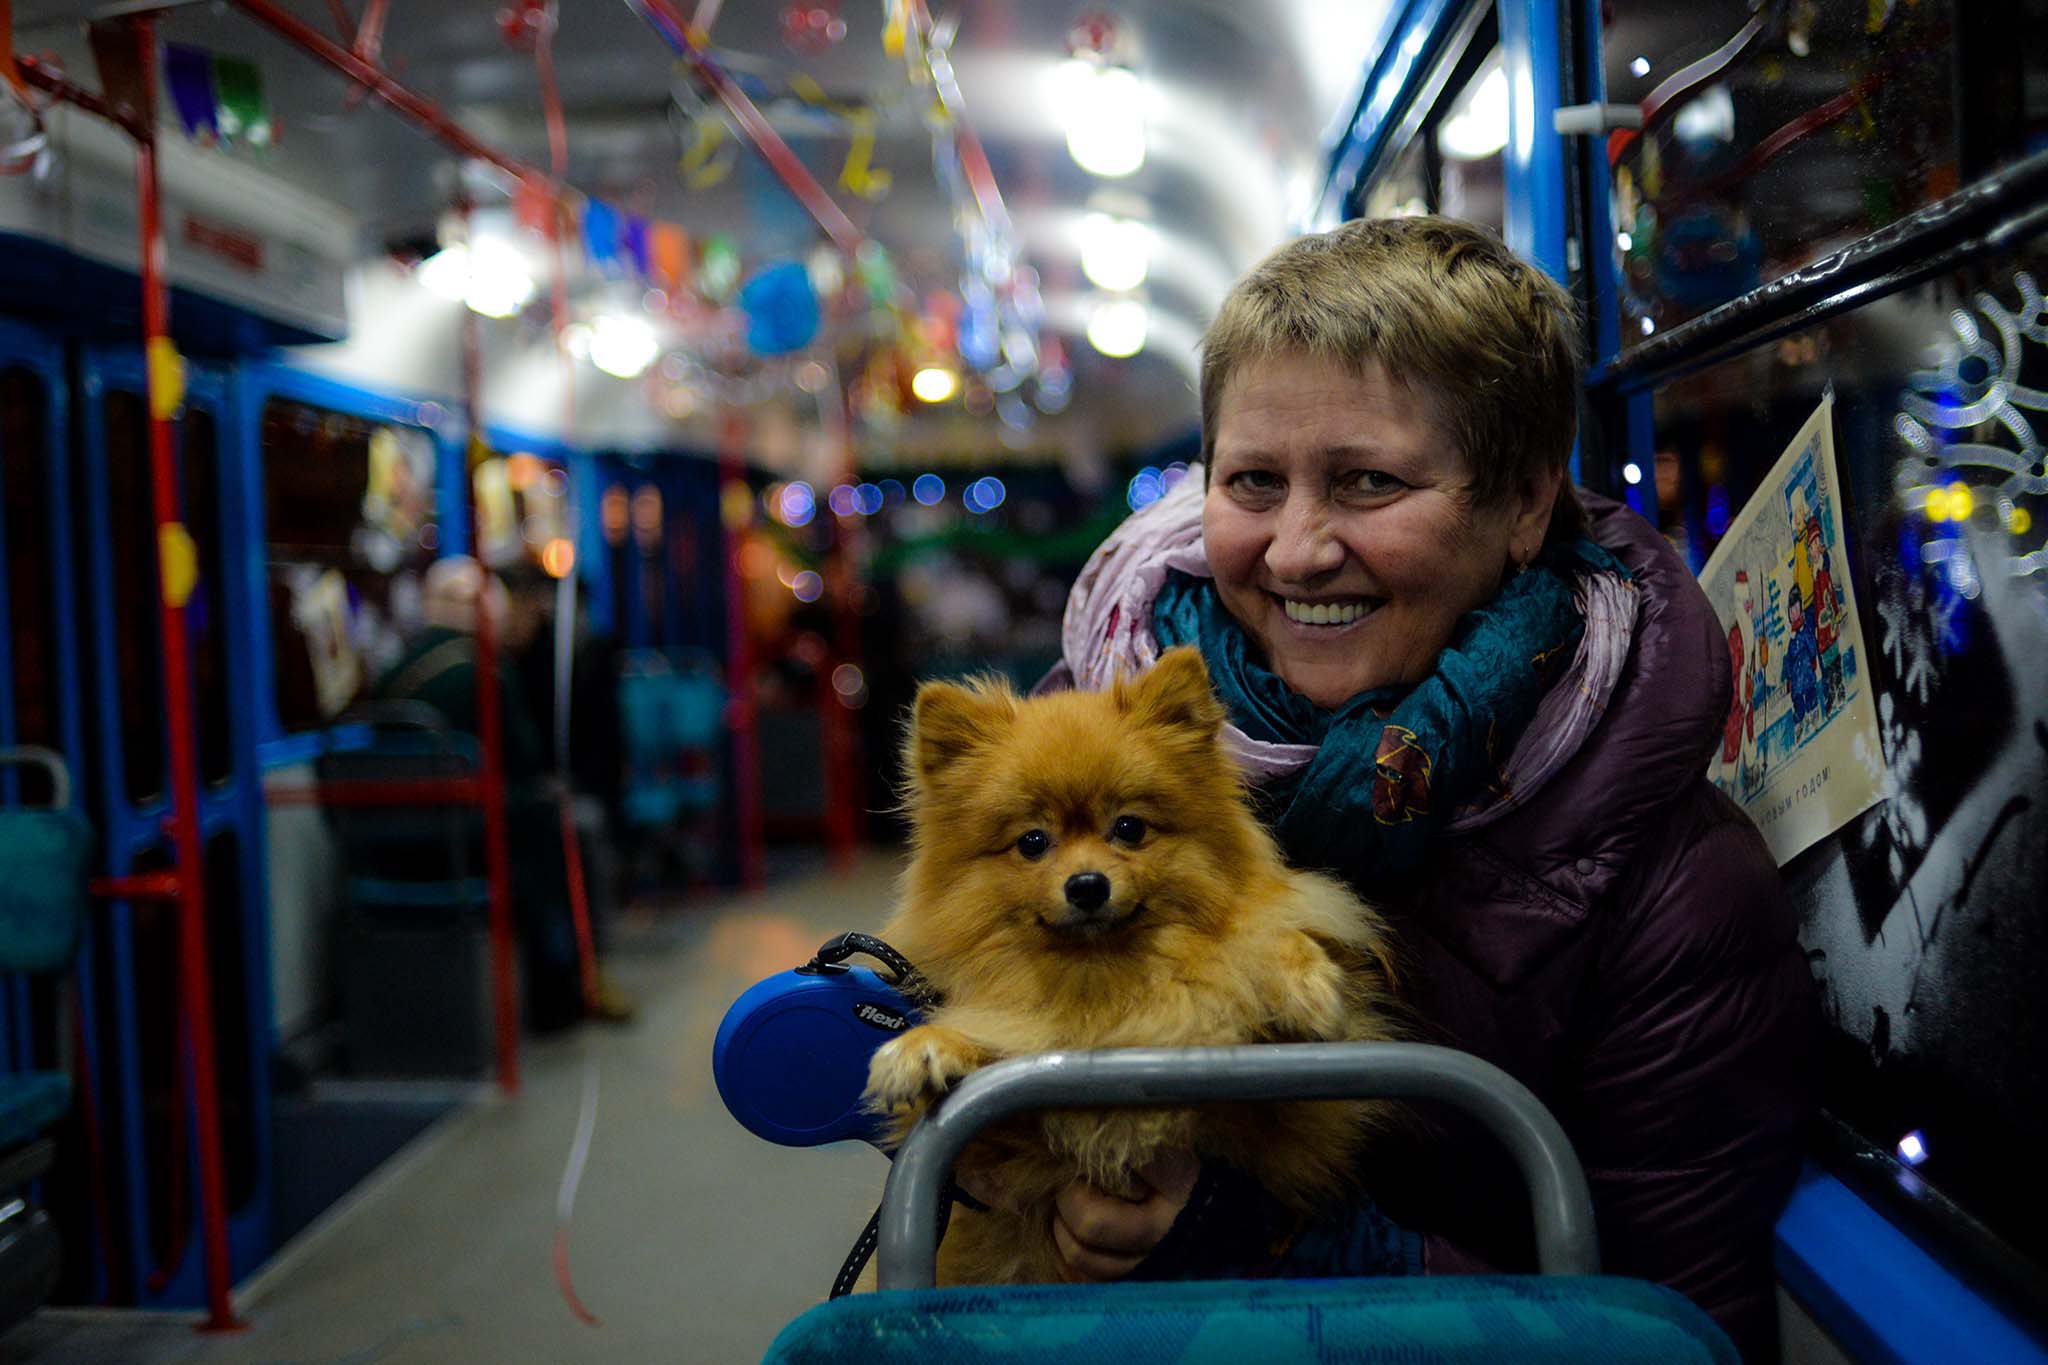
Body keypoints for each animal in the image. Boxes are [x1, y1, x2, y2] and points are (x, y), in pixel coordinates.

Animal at [863, 646, 1401, 1286]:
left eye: (1129, 827)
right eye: (1033, 842)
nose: (1087, 885)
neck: (1108, 988)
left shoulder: (1295, 1126)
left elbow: (1259, 958)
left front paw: (1300, 985)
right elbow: (990, 1044)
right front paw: (926, 1048)